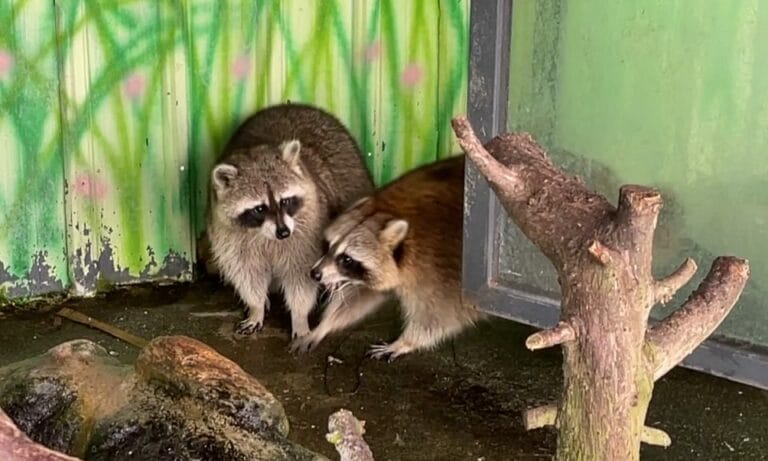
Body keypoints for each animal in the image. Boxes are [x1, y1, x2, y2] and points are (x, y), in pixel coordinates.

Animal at [207, 103, 374, 338]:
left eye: (285, 201)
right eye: (259, 208)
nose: (284, 232)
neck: (267, 236)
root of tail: (295, 105)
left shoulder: (307, 232)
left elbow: (301, 277)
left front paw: (300, 318)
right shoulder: (228, 234)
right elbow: (247, 272)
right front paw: (256, 307)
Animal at [291, 154, 485, 360]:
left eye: (347, 259)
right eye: (328, 245)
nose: (315, 274)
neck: (392, 210)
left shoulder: (439, 266)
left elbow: (442, 313)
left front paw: (406, 342)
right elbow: (362, 295)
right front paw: (324, 326)